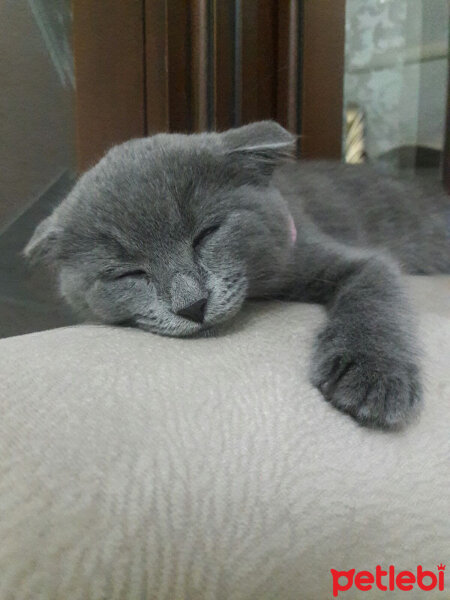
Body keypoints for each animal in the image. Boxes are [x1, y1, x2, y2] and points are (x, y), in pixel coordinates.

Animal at [25, 122, 450, 428]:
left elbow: (374, 295)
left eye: (206, 234)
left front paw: (373, 375)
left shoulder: (351, 259)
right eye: (130, 273)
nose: (192, 305)